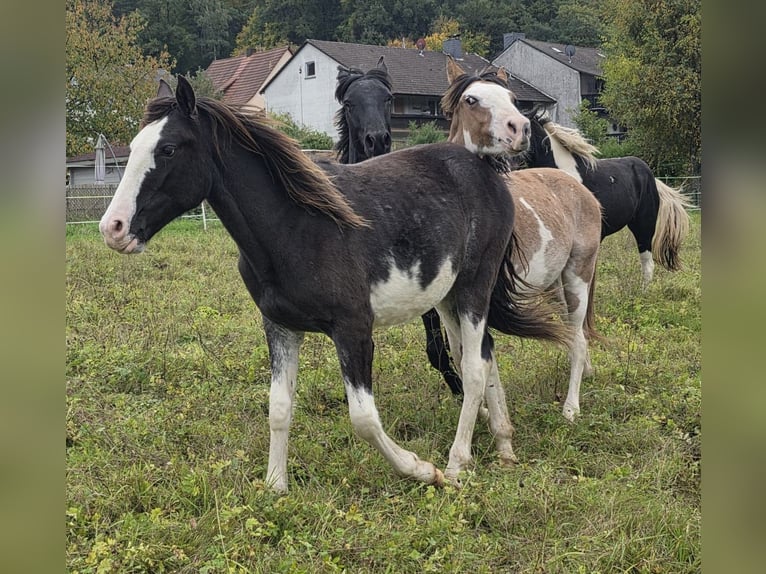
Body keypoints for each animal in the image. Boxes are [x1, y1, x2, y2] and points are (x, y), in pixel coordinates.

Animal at [99, 76, 570, 492]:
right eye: (135, 148)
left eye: (167, 149)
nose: (113, 228)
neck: (298, 227)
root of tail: (485, 169)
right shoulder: (279, 327)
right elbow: (279, 408)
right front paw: (275, 486)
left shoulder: (353, 329)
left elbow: (364, 419)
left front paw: (421, 469)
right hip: (451, 297)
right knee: (485, 357)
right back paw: (504, 445)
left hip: (474, 287)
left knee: (472, 368)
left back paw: (456, 463)